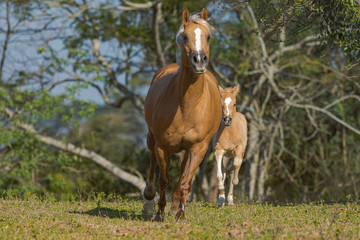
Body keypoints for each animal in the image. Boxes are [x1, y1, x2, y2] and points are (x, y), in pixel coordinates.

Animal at [143, 8, 222, 220]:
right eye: (185, 36)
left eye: (208, 37)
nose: (199, 60)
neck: (187, 106)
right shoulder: (162, 146)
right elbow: (163, 179)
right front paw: (159, 212)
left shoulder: (198, 148)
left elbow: (186, 181)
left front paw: (180, 214)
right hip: (152, 138)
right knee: (152, 160)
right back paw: (149, 195)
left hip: (187, 149)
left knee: (181, 173)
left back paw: (175, 206)